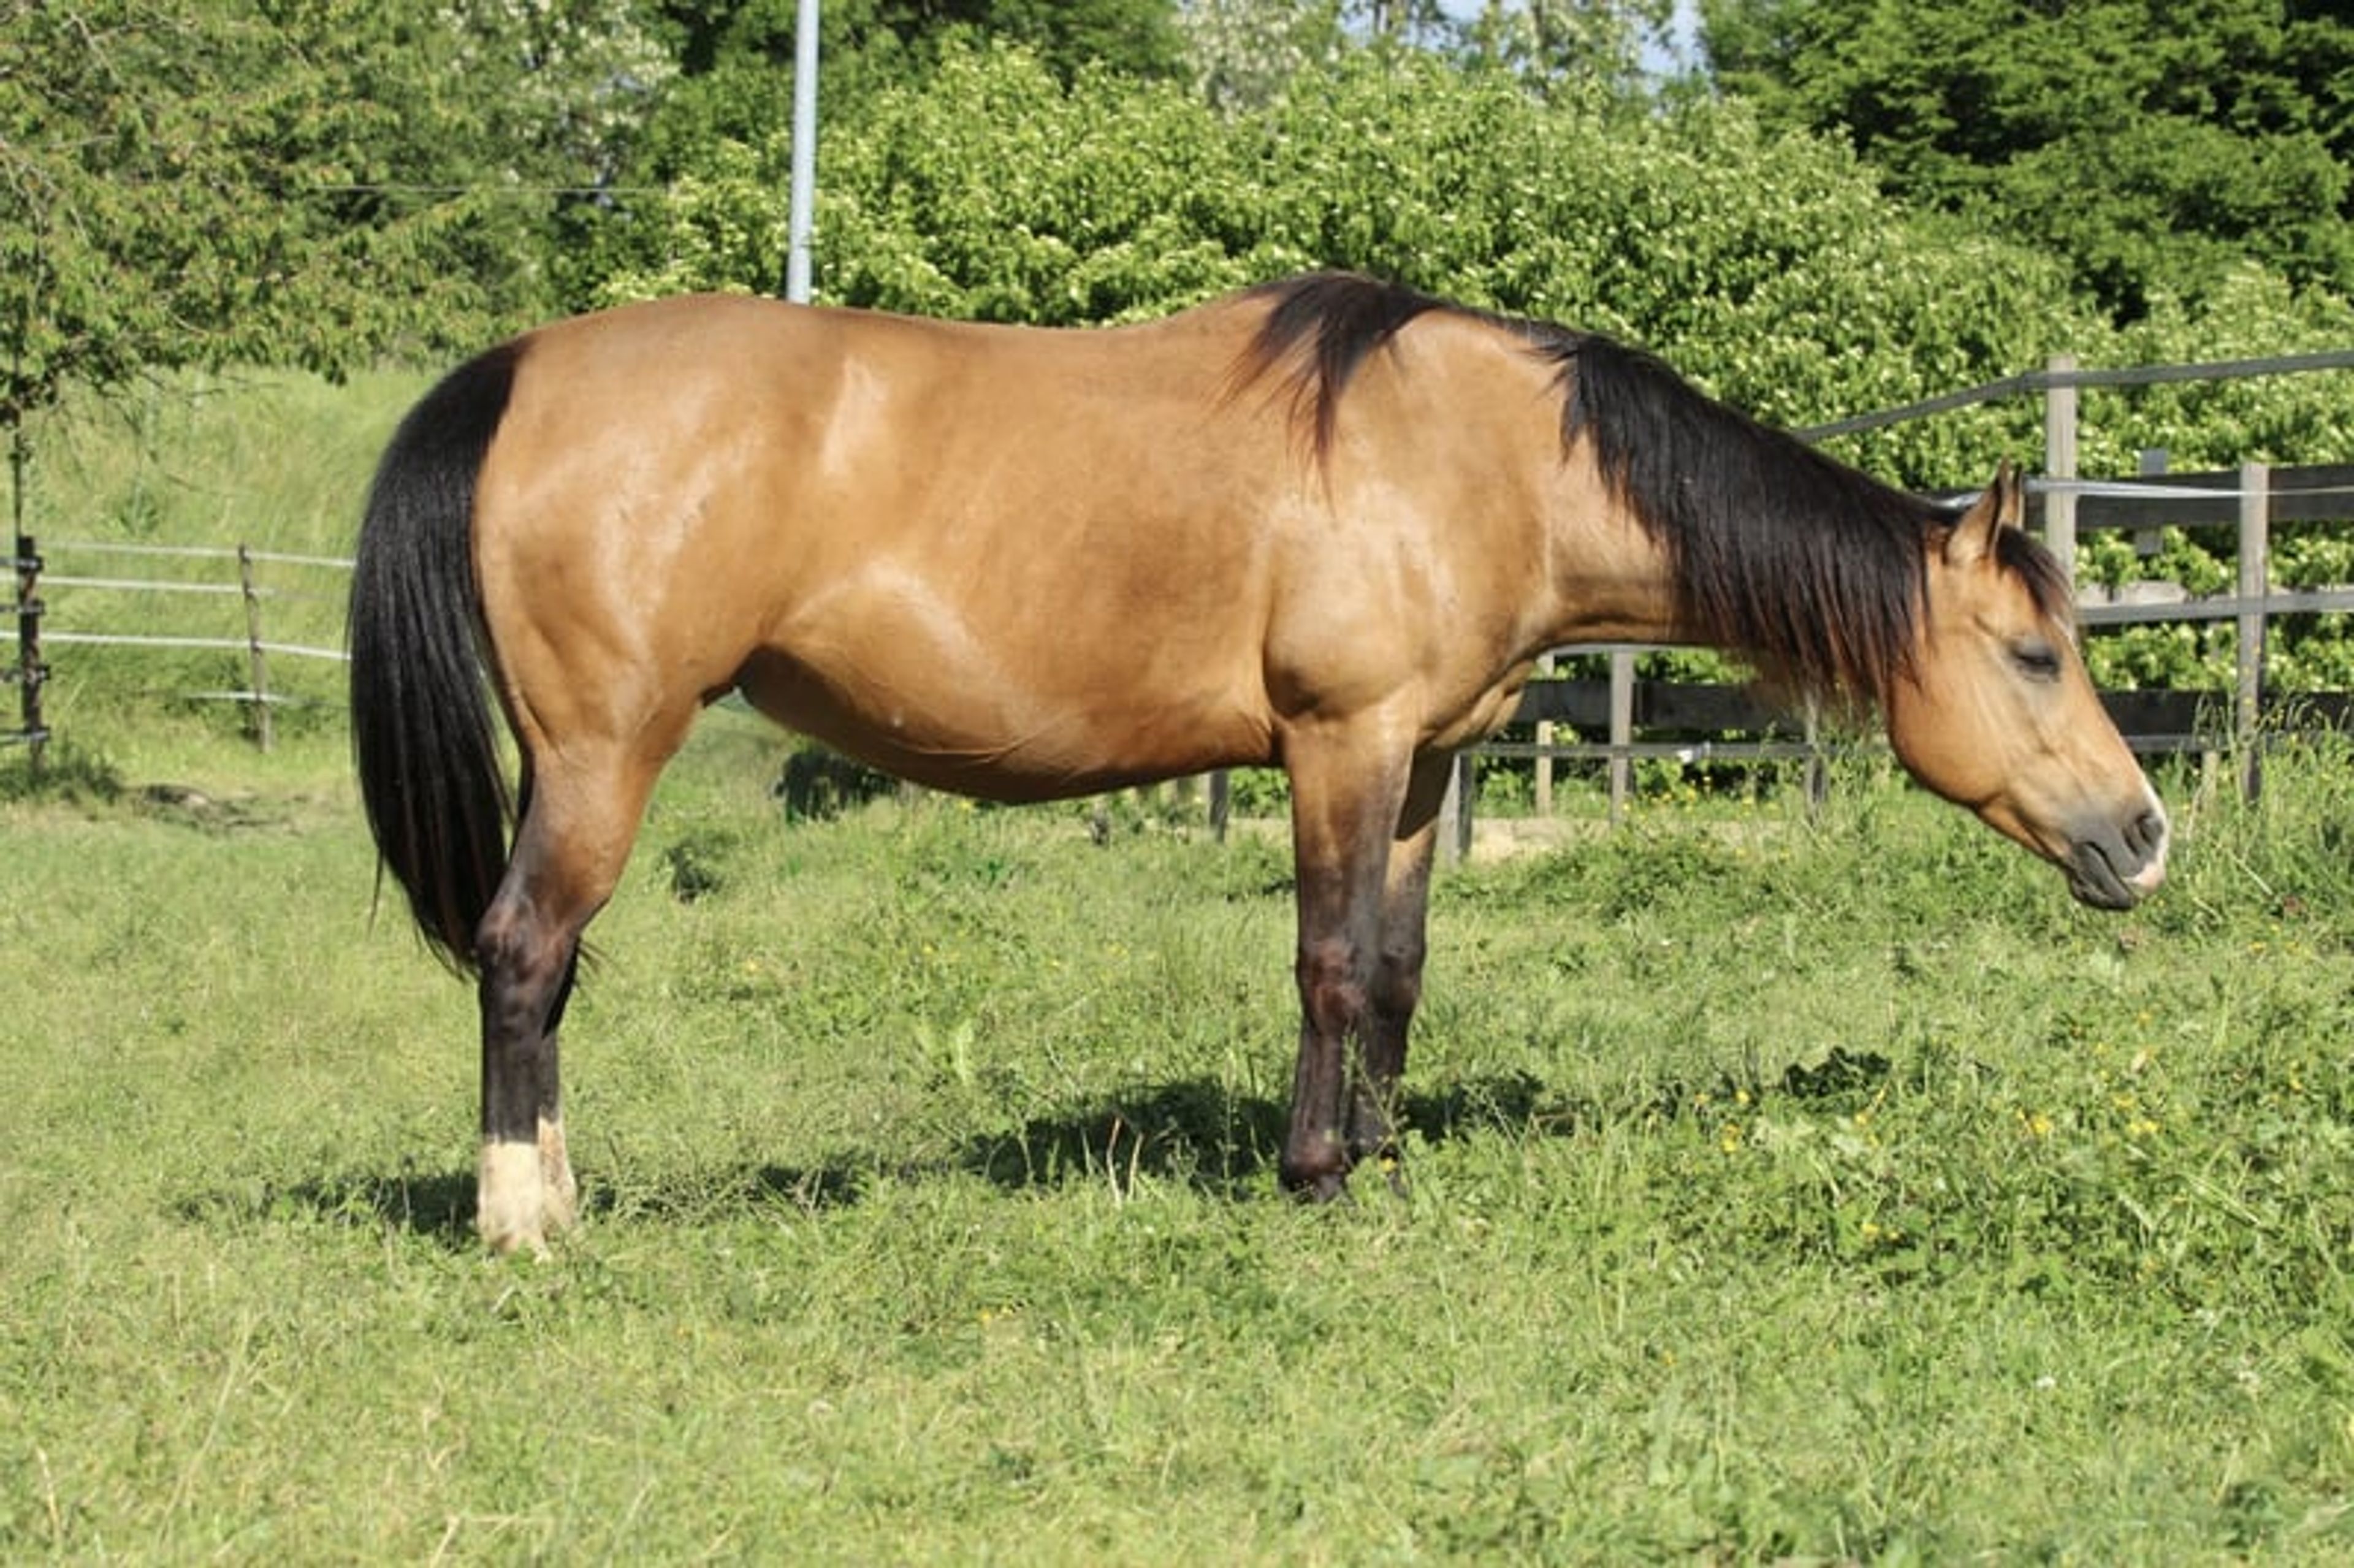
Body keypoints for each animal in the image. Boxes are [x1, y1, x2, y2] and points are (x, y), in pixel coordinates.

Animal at [349, 273, 2169, 1255]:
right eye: (2034, 653)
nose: (2145, 832)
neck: (1485, 452)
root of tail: (522, 372)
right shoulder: (1336, 743)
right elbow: (1327, 962)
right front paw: (1311, 1174)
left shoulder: (1424, 764)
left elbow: (1399, 966)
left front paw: (1379, 1154)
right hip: (605, 751)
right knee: (523, 953)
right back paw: (523, 1217)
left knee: (545, 968)